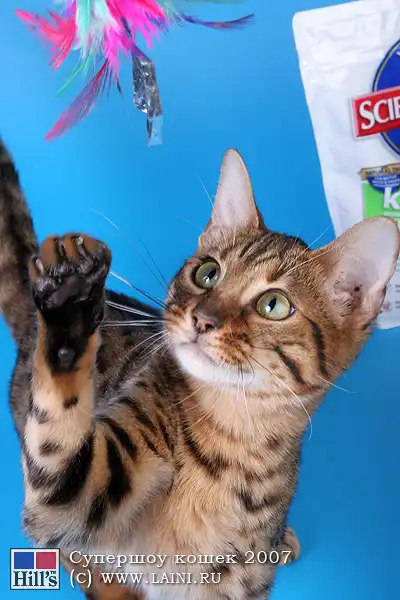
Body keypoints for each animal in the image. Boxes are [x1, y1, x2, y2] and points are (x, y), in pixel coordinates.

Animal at [1, 139, 399, 600]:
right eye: (207, 273)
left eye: (274, 304)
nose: (203, 318)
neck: (234, 444)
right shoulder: (77, 490)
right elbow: (61, 455)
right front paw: (71, 298)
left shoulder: (236, 583)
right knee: (69, 551)